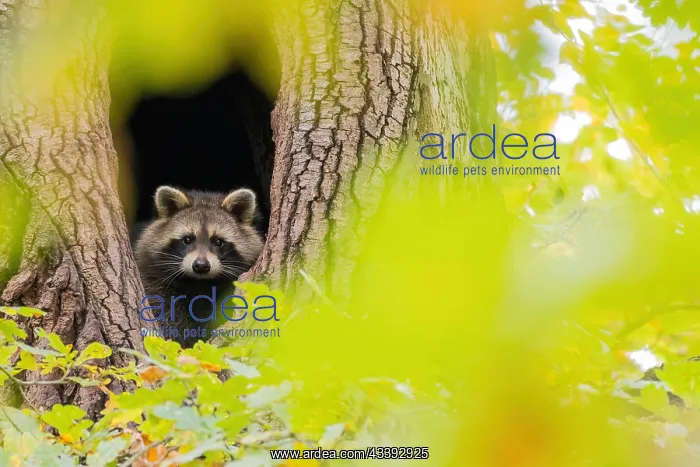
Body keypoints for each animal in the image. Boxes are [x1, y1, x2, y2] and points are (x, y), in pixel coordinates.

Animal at [134, 186, 265, 347]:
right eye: (187, 239)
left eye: (218, 242)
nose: (201, 266)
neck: (199, 281)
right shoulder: (153, 276)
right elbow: (163, 308)